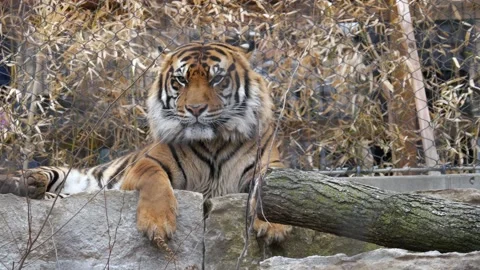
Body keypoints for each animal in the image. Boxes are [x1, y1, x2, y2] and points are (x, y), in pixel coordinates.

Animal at [0, 41, 290, 244]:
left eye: (216, 79)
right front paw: (157, 224)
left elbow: (271, 193)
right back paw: (25, 183)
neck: (214, 142)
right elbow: (156, 182)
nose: (195, 109)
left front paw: (273, 226)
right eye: (181, 79)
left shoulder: (269, 168)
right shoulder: (147, 163)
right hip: (64, 172)